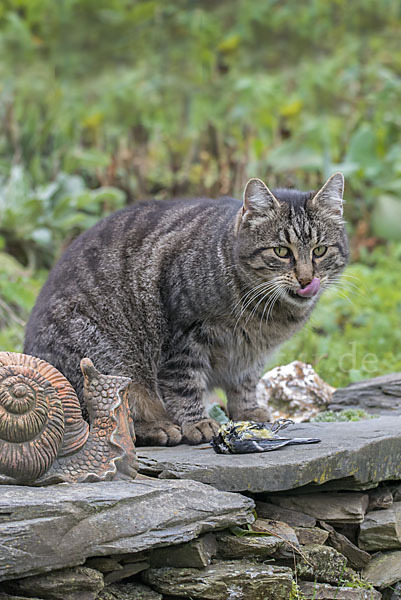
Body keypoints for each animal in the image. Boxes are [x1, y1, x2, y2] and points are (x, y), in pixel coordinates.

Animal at [24, 173, 346, 446]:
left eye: (319, 251)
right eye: (281, 251)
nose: (306, 279)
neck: (265, 314)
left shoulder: (252, 355)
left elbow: (245, 384)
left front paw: (248, 412)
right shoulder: (184, 337)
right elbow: (184, 385)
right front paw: (197, 423)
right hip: (110, 361)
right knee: (103, 422)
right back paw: (159, 427)